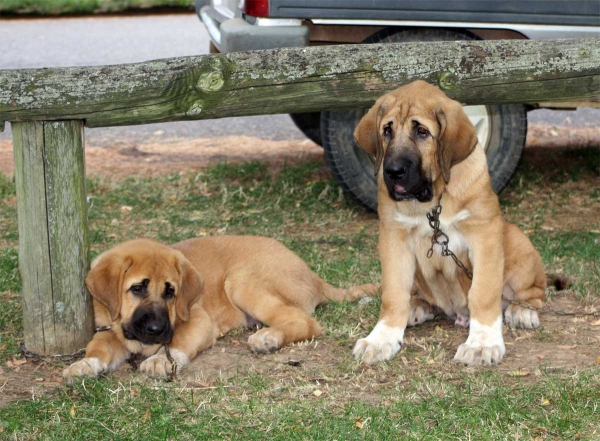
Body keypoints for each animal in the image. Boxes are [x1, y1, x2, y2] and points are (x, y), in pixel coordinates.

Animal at [64, 235, 376, 380]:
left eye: (170, 292)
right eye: (137, 288)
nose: (156, 329)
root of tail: (314, 275)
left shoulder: (198, 320)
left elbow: (178, 340)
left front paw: (161, 359)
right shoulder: (108, 330)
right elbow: (98, 347)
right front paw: (83, 365)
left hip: (241, 281)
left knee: (307, 322)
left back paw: (269, 337)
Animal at [354, 81, 548, 366]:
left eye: (422, 131)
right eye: (387, 131)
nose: (392, 171)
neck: (433, 199)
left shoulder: (485, 234)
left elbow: (483, 292)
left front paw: (482, 344)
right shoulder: (393, 238)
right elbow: (393, 293)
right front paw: (382, 338)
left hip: (517, 241)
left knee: (534, 292)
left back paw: (522, 311)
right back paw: (417, 306)